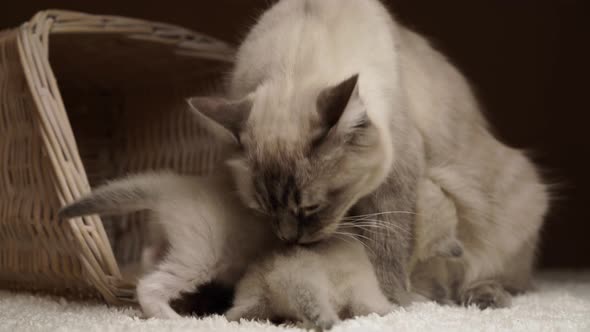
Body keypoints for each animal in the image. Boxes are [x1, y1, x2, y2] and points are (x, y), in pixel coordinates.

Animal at [59, 171, 276, 320]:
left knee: (148, 255)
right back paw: (176, 319)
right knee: (148, 286)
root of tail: (171, 187)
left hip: (168, 237)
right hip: (199, 255)